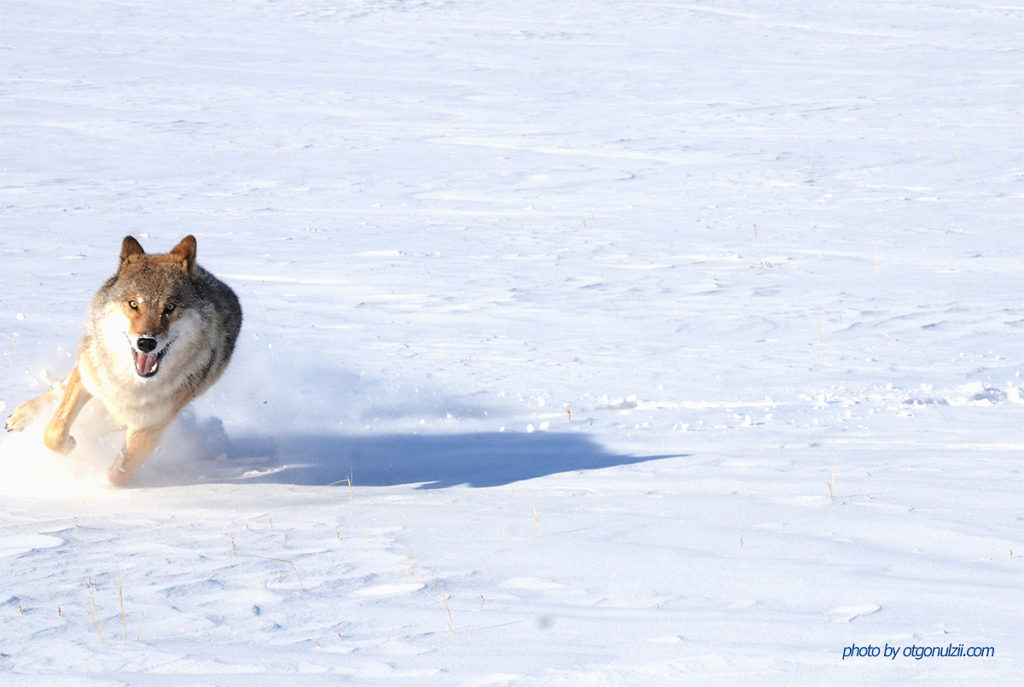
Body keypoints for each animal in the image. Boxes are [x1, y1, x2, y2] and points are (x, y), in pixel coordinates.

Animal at [4, 239, 242, 487]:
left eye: (169, 308)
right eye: (133, 304)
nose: (146, 342)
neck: (130, 381)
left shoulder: (150, 424)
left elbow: (117, 473)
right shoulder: (88, 379)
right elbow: (54, 431)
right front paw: (70, 445)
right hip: (86, 365)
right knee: (60, 386)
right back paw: (20, 416)